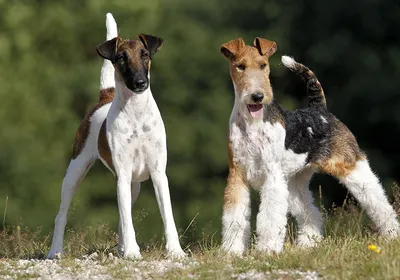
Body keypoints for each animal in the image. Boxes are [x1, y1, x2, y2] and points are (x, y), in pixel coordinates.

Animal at [47, 12, 185, 258]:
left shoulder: (159, 174)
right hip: (75, 172)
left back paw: (121, 248)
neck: (136, 113)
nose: (140, 82)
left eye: (145, 55)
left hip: (133, 185)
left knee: (123, 216)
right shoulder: (122, 173)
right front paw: (132, 251)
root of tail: (105, 96)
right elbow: (127, 220)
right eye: (121, 57)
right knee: (61, 215)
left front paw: (175, 251)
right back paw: (55, 251)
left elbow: (167, 218)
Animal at [220, 37, 398, 256]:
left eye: (263, 65)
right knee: (310, 213)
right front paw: (231, 252)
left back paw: (392, 234)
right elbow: (234, 217)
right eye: (241, 66)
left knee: (379, 202)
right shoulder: (237, 175)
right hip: (295, 181)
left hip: (351, 166)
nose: (257, 96)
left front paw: (267, 250)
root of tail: (321, 110)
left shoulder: (272, 177)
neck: (252, 123)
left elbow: (269, 218)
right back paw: (308, 244)